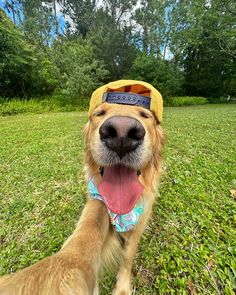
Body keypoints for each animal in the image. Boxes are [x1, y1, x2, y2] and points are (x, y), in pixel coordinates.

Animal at [0, 80, 163, 294]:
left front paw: (122, 287)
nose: (122, 133)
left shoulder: (141, 219)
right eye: (99, 113)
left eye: (145, 115)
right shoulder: (98, 199)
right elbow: (88, 230)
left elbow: (128, 255)